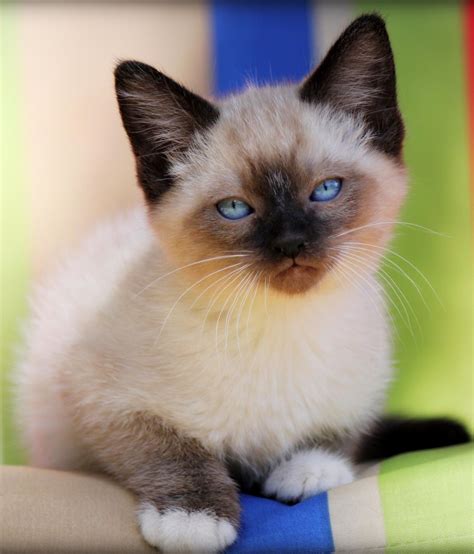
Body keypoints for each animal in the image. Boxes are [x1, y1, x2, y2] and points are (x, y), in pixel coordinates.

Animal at [14, 15, 466, 548]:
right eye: (234, 208)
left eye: (325, 190)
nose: (292, 244)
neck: (282, 327)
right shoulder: (97, 398)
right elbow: (170, 448)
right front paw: (192, 519)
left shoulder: (364, 392)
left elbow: (339, 436)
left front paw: (309, 471)